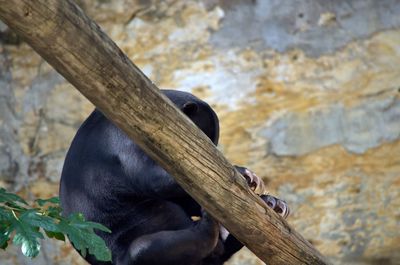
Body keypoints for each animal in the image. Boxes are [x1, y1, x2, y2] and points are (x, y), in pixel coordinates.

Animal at [59, 89, 290, 262]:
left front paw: (273, 200)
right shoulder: (125, 138)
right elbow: (158, 178)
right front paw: (246, 173)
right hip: (125, 250)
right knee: (147, 248)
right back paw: (209, 224)